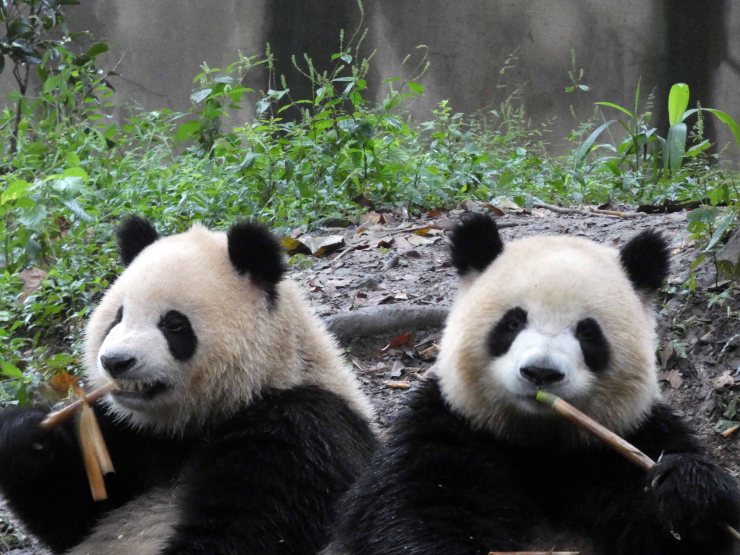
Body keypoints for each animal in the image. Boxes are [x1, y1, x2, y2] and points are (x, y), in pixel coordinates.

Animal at [0, 216, 376, 555]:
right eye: (117, 317)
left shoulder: (300, 427)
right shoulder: (131, 433)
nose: (116, 362)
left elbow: (253, 528)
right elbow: (70, 512)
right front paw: (29, 435)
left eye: (174, 324)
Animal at [328, 213, 740, 554]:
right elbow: (414, 509)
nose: (541, 373)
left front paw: (686, 489)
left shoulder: (626, 436)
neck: (538, 442)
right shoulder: (449, 427)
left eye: (588, 333)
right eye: (512, 322)